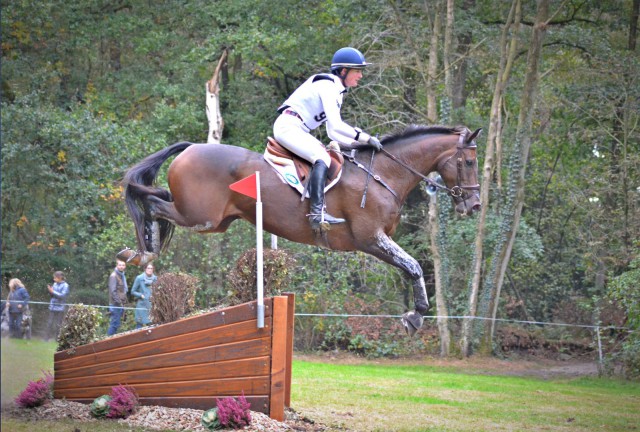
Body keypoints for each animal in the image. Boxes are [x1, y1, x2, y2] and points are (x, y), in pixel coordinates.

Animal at [117, 124, 482, 334]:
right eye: (468, 162)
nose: (474, 205)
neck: (383, 174)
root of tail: (191, 147)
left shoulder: (377, 240)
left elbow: (410, 266)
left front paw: (415, 314)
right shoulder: (370, 238)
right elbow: (414, 266)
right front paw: (415, 316)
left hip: (213, 221)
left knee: (157, 199)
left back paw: (141, 250)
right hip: (200, 216)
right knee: (153, 202)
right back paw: (143, 252)